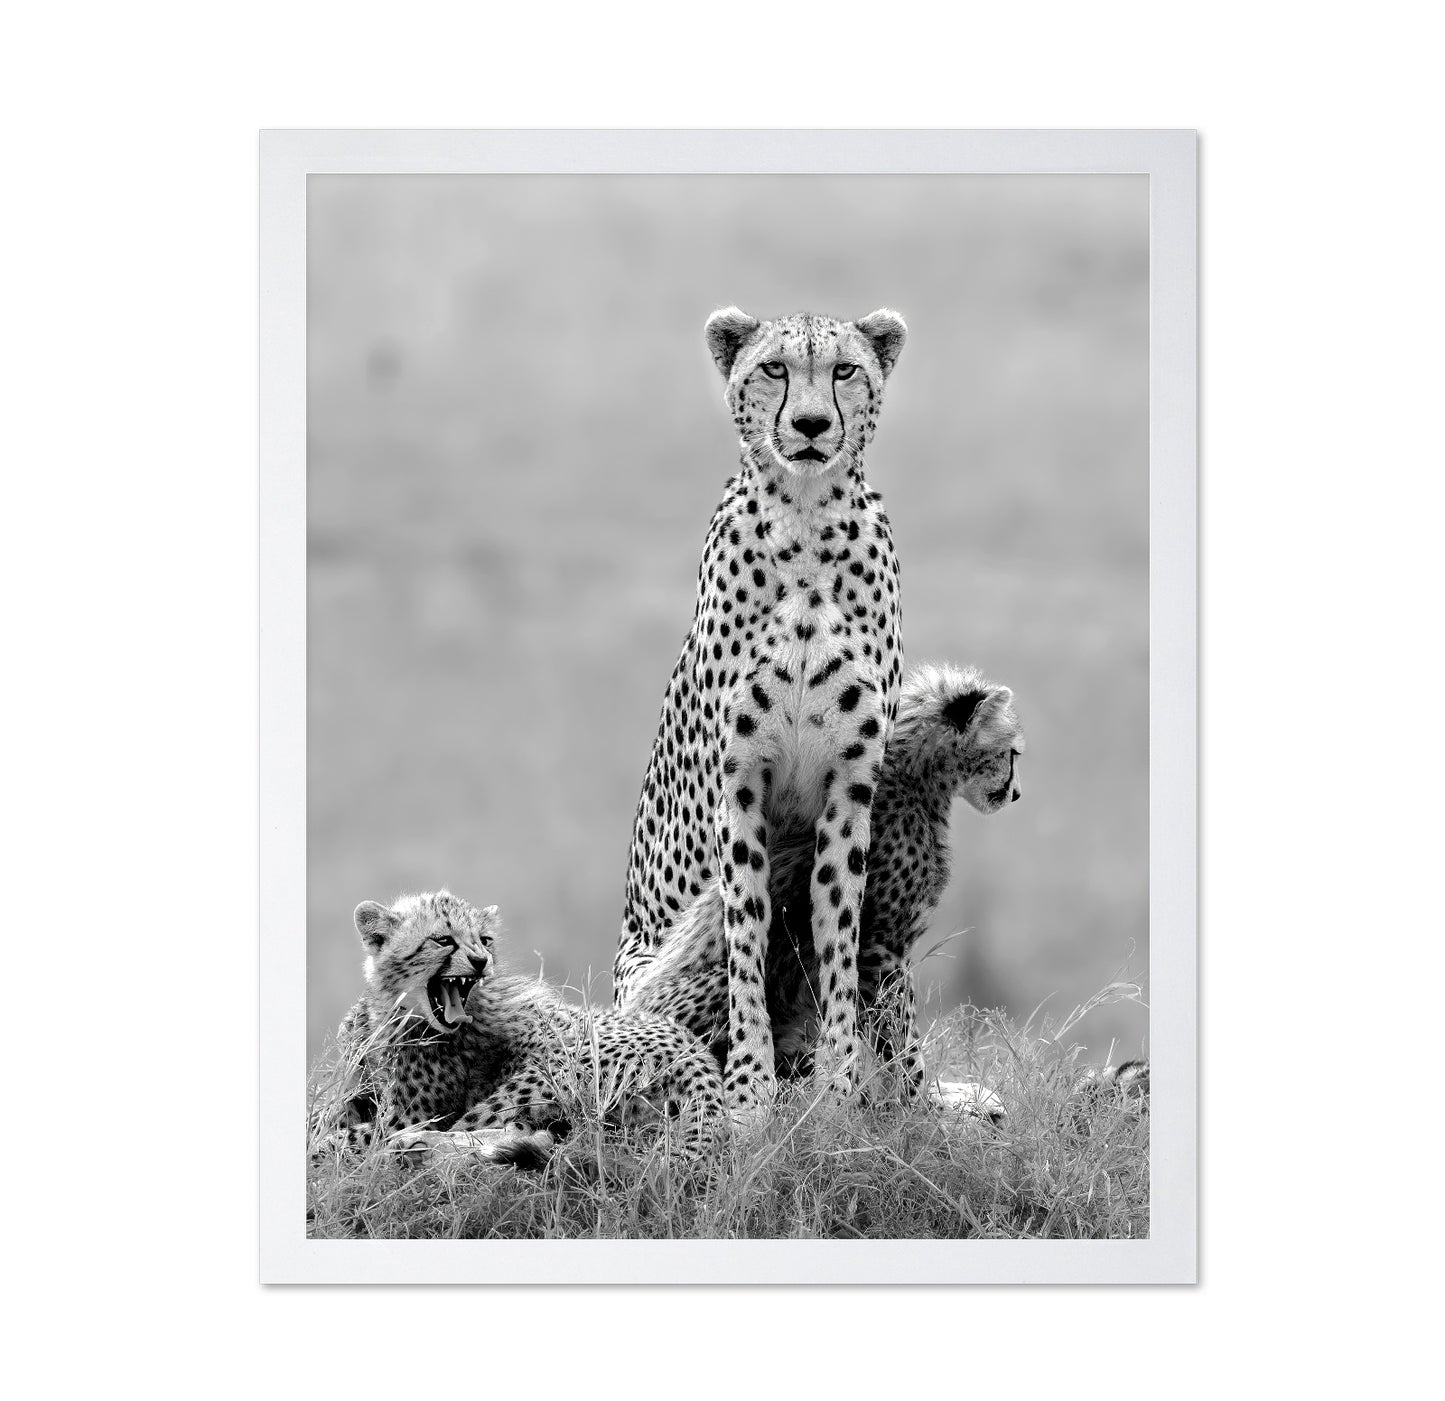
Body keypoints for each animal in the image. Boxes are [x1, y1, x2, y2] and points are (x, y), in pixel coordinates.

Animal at [310, 890, 724, 1168]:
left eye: (485, 940)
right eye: (443, 940)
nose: (481, 961)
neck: (393, 1012)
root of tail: (695, 1051)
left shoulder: (407, 1115)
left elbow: (348, 1135)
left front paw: (325, 1146)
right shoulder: (359, 1094)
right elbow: (325, 1115)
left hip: (541, 1074)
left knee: (492, 1127)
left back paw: (419, 1148)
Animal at [615, 306, 910, 1113]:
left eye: (844, 370)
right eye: (774, 368)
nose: (809, 425)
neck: (806, 527)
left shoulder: (850, 788)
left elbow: (837, 931)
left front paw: (837, 1088)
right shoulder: (739, 784)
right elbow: (744, 937)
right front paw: (749, 1091)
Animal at [623, 661, 1024, 1114]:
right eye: (1012, 753)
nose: (1016, 793)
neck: (915, 779)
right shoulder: (880, 953)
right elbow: (901, 1042)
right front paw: (924, 1107)